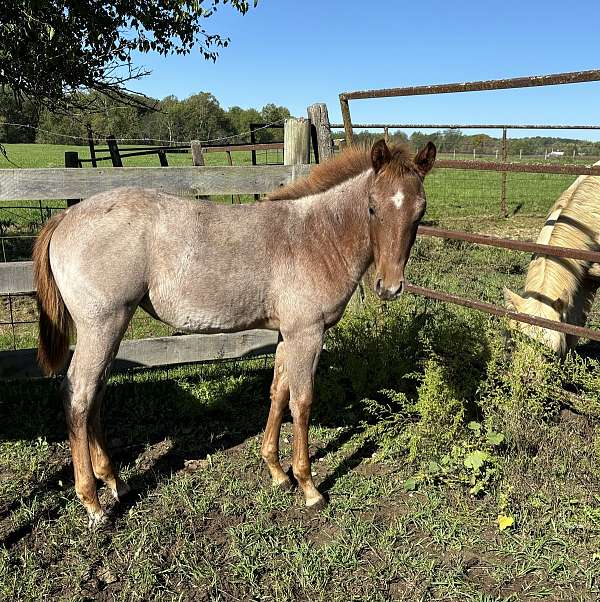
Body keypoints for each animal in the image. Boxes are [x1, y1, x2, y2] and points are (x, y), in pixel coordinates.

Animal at [32, 138, 436, 524]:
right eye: (372, 207)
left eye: (420, 211)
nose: (389, 287)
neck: (316, 236)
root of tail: (65, 216)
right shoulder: (307, 333)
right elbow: (302, 402)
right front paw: (308, 487)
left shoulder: (287, 334)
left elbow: (278, 392)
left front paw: (277, 472)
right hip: (102, 326)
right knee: (79, 396)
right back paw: (93, 502)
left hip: (111, 329)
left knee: (96, 394)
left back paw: (115, 481)